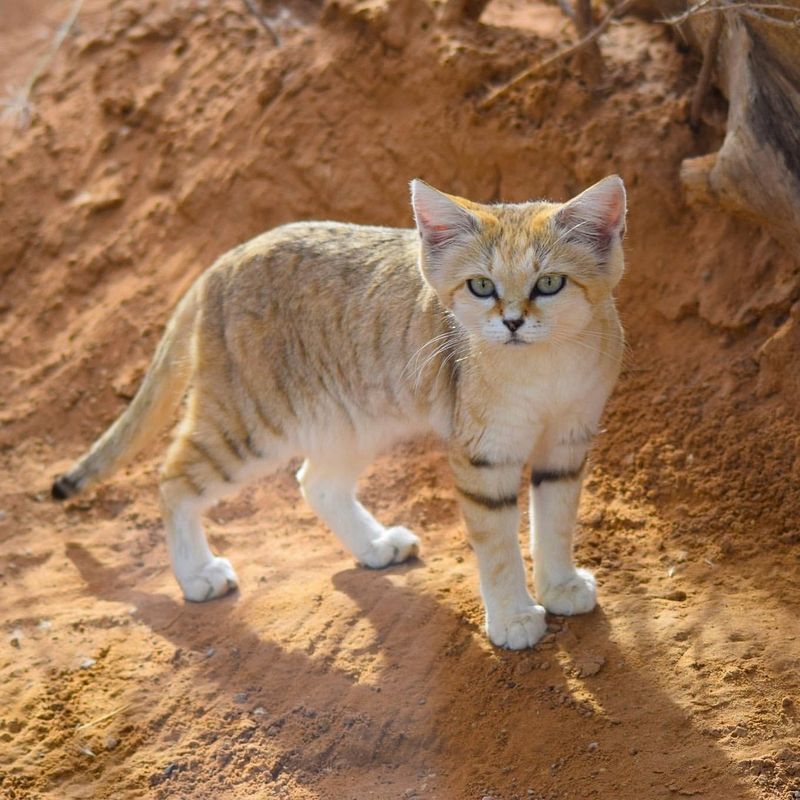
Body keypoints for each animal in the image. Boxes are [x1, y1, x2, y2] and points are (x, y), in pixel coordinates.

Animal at [50, 177, 628, 648]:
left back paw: (374, 545)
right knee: (172, 479)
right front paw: (512, 618)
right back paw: (197, 576)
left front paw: (559, 586)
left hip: (351, 421)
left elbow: (555, 522)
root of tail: (228, 255)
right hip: (251, 425)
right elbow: (499, 546)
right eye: (481, 286)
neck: (544, 369)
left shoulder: (567, 443)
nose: (511, 322)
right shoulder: (483, 455)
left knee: (315, 483)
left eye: (549, 283)